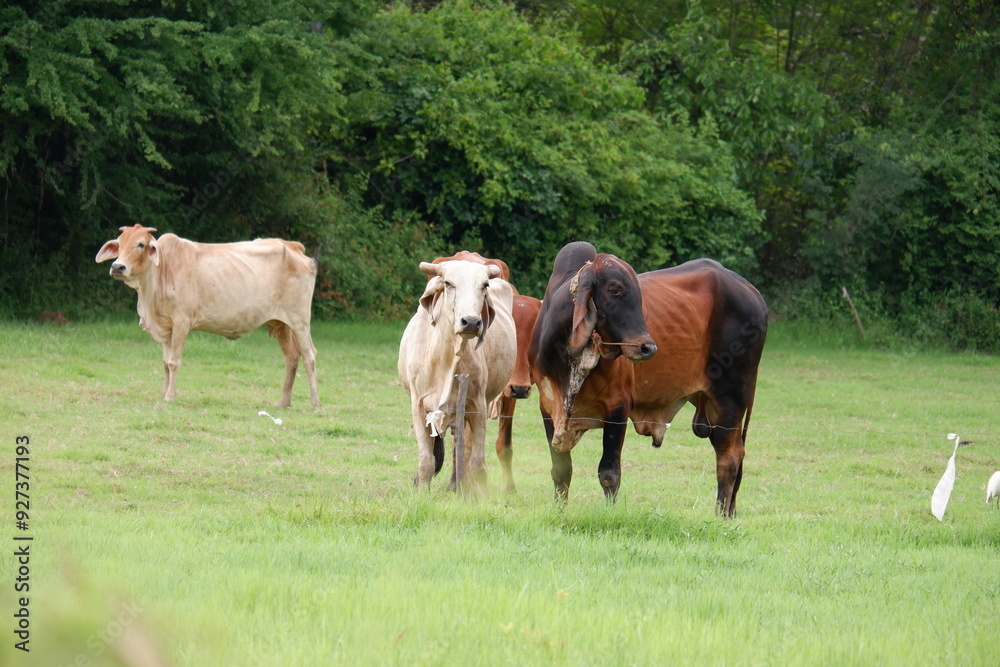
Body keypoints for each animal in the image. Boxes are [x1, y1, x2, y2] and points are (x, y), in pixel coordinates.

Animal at [95, 225, 320, 408]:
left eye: (141, 244)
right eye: (119, 244)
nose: (117, 267)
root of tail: (293, 246)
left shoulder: (182, 322)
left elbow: (174, 362)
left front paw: (170, 396)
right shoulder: (166, 328)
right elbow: (165, 364)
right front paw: (164, 393)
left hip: (299, 321)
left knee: (309, 356)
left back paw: (315, 403)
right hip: (282, 324)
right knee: (292, 357)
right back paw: (283, 402)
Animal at [398, 259, 517, 495]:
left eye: (484, 285)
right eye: (448, 283)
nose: (470, 322)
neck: (444, 358)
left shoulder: (478, 404)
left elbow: (477, 463)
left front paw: (480, 497)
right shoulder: (419, 404)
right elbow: (426, 461)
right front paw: (421, 492)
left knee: (466, 452)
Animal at [429, 251, 541, 493]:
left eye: (534, 337)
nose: (520, 388)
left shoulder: (508, 395)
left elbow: (504, 445)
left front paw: (509, 488)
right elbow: (465, 442)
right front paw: (463, 484)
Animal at [528, 242, 657, 502]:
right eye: (614, 290)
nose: (647, 347)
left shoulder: (618, 407)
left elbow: (609, 473)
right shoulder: (547, 406)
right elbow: (561, 470)